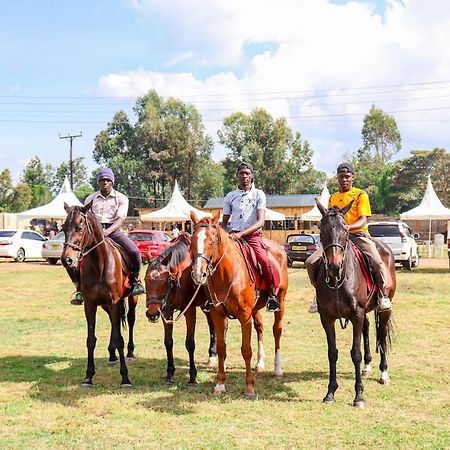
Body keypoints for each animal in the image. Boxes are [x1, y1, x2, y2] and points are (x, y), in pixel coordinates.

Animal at [60, 201, 137, 386]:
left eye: (80, 227)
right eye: (63, 228)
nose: (66, 259)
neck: (100, 264)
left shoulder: (115, 302)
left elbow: (119, 338)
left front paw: (125, 377)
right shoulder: (90, 305)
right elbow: (91, 339)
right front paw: (88, 376)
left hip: (132, 298)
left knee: (130, 320)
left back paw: (130, 353)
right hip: (104, 305)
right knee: (112, 323)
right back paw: (111, 354)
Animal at [189, 211, 288, 398]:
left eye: (212, 241)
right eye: (192, 240)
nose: (199, 274)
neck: (226, 275)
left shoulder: (244, 316)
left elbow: (246, 349)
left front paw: (249, 388)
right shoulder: (218, 315)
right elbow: (221, 347)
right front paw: (220, 384)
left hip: (281, 301)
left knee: (277, 330)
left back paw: (278, 369)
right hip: (255, 309)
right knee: (260, 327)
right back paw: (260, 363)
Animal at [314, 202, 396, 410]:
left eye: (345, 230)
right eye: (322, 230)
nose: (334, 266)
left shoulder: (356, 314)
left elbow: (355, 353)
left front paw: (359, 396)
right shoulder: (326, 318)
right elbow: (332, 353)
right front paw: (330, 392)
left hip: (383, 309)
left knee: (382, 335)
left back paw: (383, 373)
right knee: (367, 329)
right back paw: (367, 367)